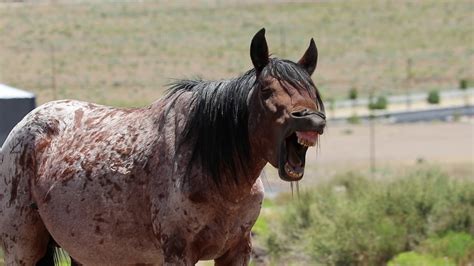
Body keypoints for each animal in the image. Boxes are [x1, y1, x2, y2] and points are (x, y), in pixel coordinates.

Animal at [0, 28, 326, 264]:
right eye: (266, 90)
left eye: (311, 90)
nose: (311, 119)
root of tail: (24, 125)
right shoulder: (178, 252)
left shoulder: (237, 250)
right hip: (23, 248)